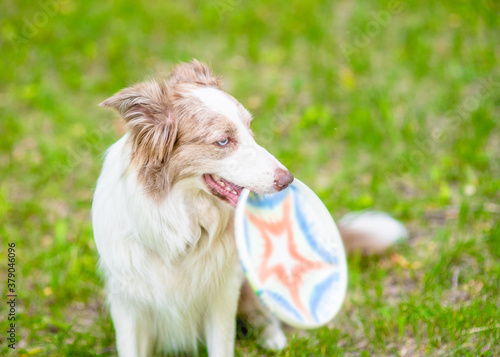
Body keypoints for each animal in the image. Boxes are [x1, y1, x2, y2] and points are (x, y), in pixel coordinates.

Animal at [93, 59, 406, 354]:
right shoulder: (127, 305)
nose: (288, 180)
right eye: (223, 140)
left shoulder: (222, 295)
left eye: (250, 128)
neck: (183, 225)